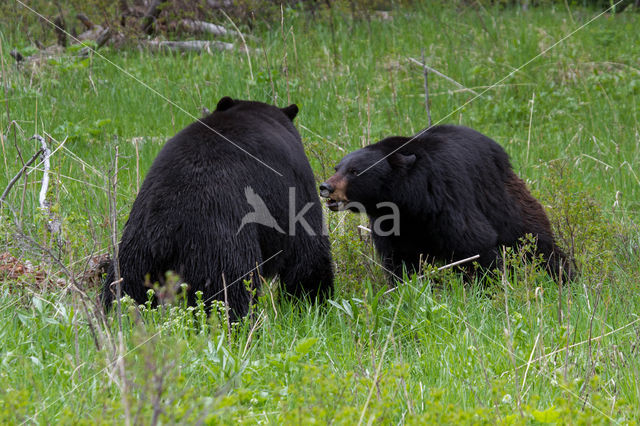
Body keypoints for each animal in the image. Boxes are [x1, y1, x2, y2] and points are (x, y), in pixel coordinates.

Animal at [102, 97, 332, 320]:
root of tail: (165, 224)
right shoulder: (296, 185)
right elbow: (308, 249)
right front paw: (313, 302)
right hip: (218, 246)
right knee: (231, 290)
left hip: (136, 247)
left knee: (125, 287)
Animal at [320, 125, 576, 284]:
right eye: (337, 167)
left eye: (354, 171)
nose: (325, 187)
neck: (408, 203)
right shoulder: (391, 224)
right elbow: (400, 261)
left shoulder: (446, 200)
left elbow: (475, 244)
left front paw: (488, 287)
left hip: (505, 201)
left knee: (535, 240)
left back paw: (565, 276)